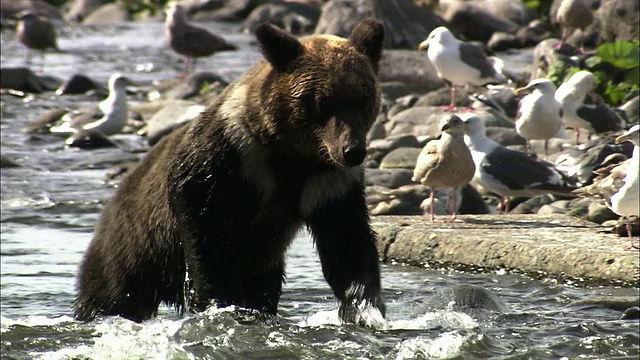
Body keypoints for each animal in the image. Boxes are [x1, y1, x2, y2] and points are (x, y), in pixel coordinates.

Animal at [75, 19, 384, 326]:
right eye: (323, 102)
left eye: (363, 98)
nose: (353, 150)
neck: (292, 156)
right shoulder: (232, 159)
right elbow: (205, 230)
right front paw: (217, 301)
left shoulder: (330, 183)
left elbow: (347, 243)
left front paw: (364, 308)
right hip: (133, 246)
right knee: (112, 292)